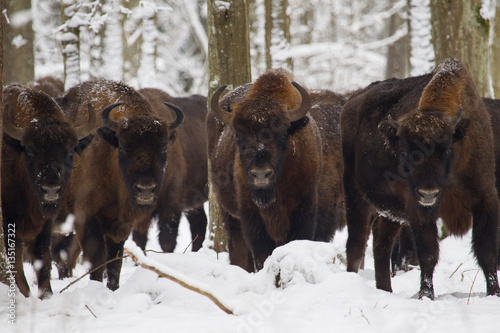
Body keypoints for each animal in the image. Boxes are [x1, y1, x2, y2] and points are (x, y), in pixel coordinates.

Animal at [1, 83, 94, 296]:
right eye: (29, 151)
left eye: (70, 152)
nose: (50, 190)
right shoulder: (10, 219)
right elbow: (16, 262)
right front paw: (26, 294)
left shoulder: (45, 223)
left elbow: (44, 257)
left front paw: (46, 295)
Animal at [54, 79, 184, 290]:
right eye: (122, 147)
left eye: (163, 147)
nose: (145, 189)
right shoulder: (87, 219)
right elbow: (97, 261)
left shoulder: (120, 225)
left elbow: (114, 263)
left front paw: (113, 288)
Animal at [206, 68, 344, 272]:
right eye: (239, 136)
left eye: (283, 134)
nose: (260, 174)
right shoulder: (251, 215)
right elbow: (261, 252)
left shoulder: (305, 208)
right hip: (228, 213)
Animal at [342, 57, 500, 298]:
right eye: (405, 152)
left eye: (447, 149)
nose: (428, 193)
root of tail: (352, 102)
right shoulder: (418, 210)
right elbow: (428, 254)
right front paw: (426, 295)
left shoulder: (486, 199)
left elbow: (487, 253)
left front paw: (494, 293)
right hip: (356, 196)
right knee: (356, 245)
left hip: (389, 212)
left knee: (381, 246)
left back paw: (386, 289)